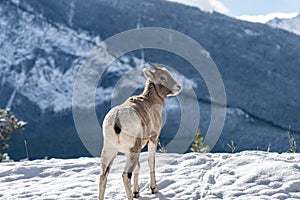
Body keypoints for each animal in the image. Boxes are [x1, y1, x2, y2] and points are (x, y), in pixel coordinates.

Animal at [99, 63, 182, 199]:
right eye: (162, 77)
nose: (178, 87)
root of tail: (116, 119)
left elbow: (138, 166)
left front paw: (137, 192)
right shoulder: (153, 138)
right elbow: (150, 161)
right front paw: (154, 189)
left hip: (110, 150)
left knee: (103, 175)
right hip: (132, 150)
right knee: (125, 175)